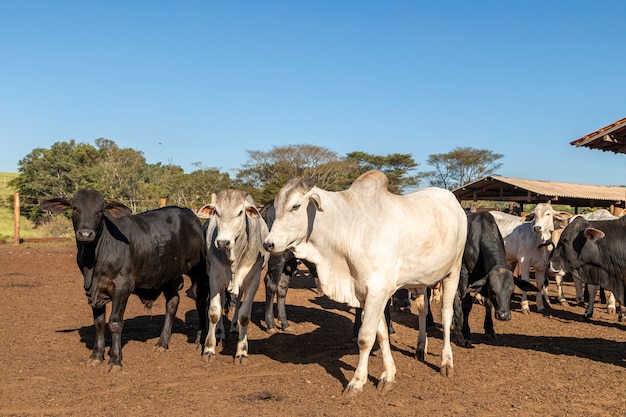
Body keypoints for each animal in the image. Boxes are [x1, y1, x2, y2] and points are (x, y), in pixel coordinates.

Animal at [40, 187, 207, 368]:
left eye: (100, 211)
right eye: (75, 208)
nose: (85, 234)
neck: (94, 259)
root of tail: (190, 215)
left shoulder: (122, 287)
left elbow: (115, 322)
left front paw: (115, 360)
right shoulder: (93, 290)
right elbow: (99, 322)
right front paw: (96, 355)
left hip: (198, 271)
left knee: (200, 301)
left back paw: (199, 340)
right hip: (168, 276)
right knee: (172, 303)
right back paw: (162, 343)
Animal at [197, 190, 268, 362]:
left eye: (241, 212)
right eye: (216, 211)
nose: (223, 242)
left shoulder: (254, 280)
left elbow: (244, 315)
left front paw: (242, 351)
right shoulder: (214, 276)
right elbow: (214, 312)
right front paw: (209, 349)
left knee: (237, 302)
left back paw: (234, 328)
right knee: (223, 300)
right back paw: (220, 331)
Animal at [260, 170, 466, 396]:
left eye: (296, 206)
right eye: (276, 206)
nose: (268, 243)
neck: (350, 228)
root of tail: (454, 201)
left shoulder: (377, 291)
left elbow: (365, 337)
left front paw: (357, 382)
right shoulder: (367, 293)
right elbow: (382, 334)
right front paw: (388, 375)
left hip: (453, 271)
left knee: (446, 314)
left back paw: (446, 362)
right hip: (419, 280)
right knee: (422, 310)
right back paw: (421, 347)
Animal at [454, 211, 536, 348]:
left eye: (512, 291)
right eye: (493, 291)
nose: (503, 315)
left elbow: (488, 304)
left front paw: (489, 330)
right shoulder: (463, 273)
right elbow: (466, 304)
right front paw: (466, 334)